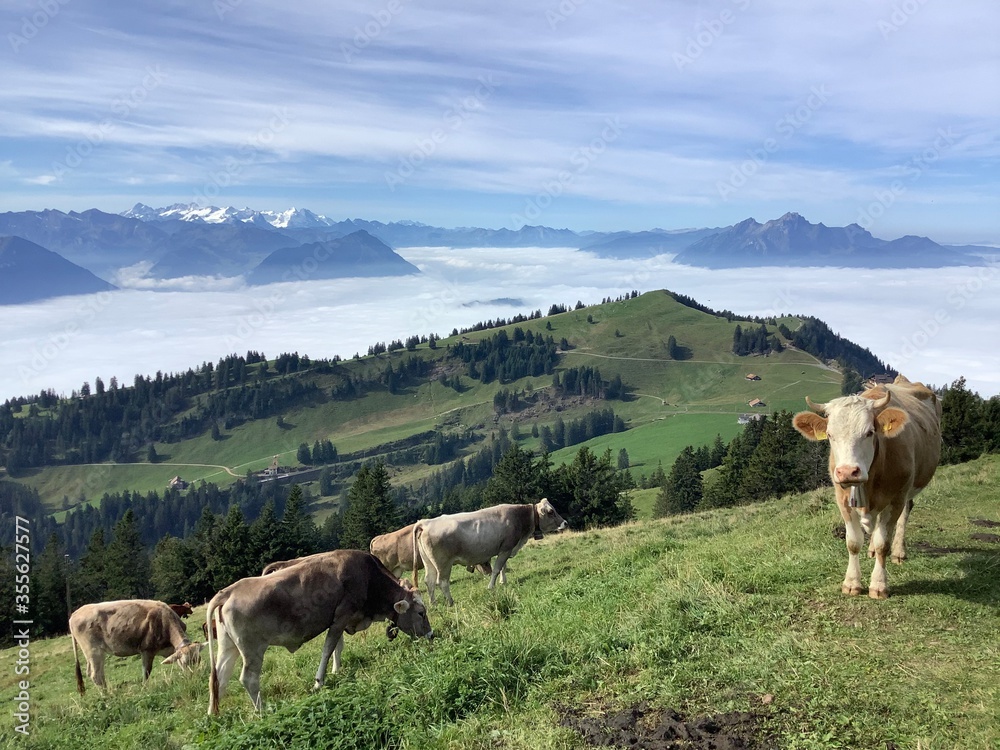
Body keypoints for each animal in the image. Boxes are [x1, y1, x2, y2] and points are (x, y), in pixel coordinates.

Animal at [69, 599, 203, 695]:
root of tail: (75, 613)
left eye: (198, 660)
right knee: (96, 675)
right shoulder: (147, 650)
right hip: (93, 650)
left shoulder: (170, 649)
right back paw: (107, 697)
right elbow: (146, 672)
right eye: (186, 662)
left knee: (94, 673)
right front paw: (145, 689)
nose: (194, 676)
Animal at [206, 549, 433, 715]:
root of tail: (228, 591)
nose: (431, 635)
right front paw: (318, 683)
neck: (368, 577)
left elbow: (337, 647)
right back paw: (263, 711)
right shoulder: (342, 616)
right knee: (248, 679)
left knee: (219, 678)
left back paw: (213, 716)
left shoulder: (339, 619)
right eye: (421, 613)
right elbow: (328, 649)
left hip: (228, 647)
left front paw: (336, 670)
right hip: (252, 648)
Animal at [412, 498, 568, 605]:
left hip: (429, 563)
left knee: (429, 581)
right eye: (551, 512)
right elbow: (497, 568)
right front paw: (491, 586)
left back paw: (433, 603)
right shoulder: (506, 548)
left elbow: (503, 567)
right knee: (442, 582)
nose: (565, 523)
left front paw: (503, 582)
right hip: (443, 564)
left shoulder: (504, 549)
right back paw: (451, 602)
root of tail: (425, 522)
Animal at [793, 375, 942, 600]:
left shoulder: (896, 498)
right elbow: (853, 542)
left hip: (907, 490)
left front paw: (879, 585)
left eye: (870, 432)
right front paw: (851, 582)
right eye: (829, 435)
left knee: (904, 515)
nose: (847, 472)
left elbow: (883, 544)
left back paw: (899, 552)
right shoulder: (842, 499)